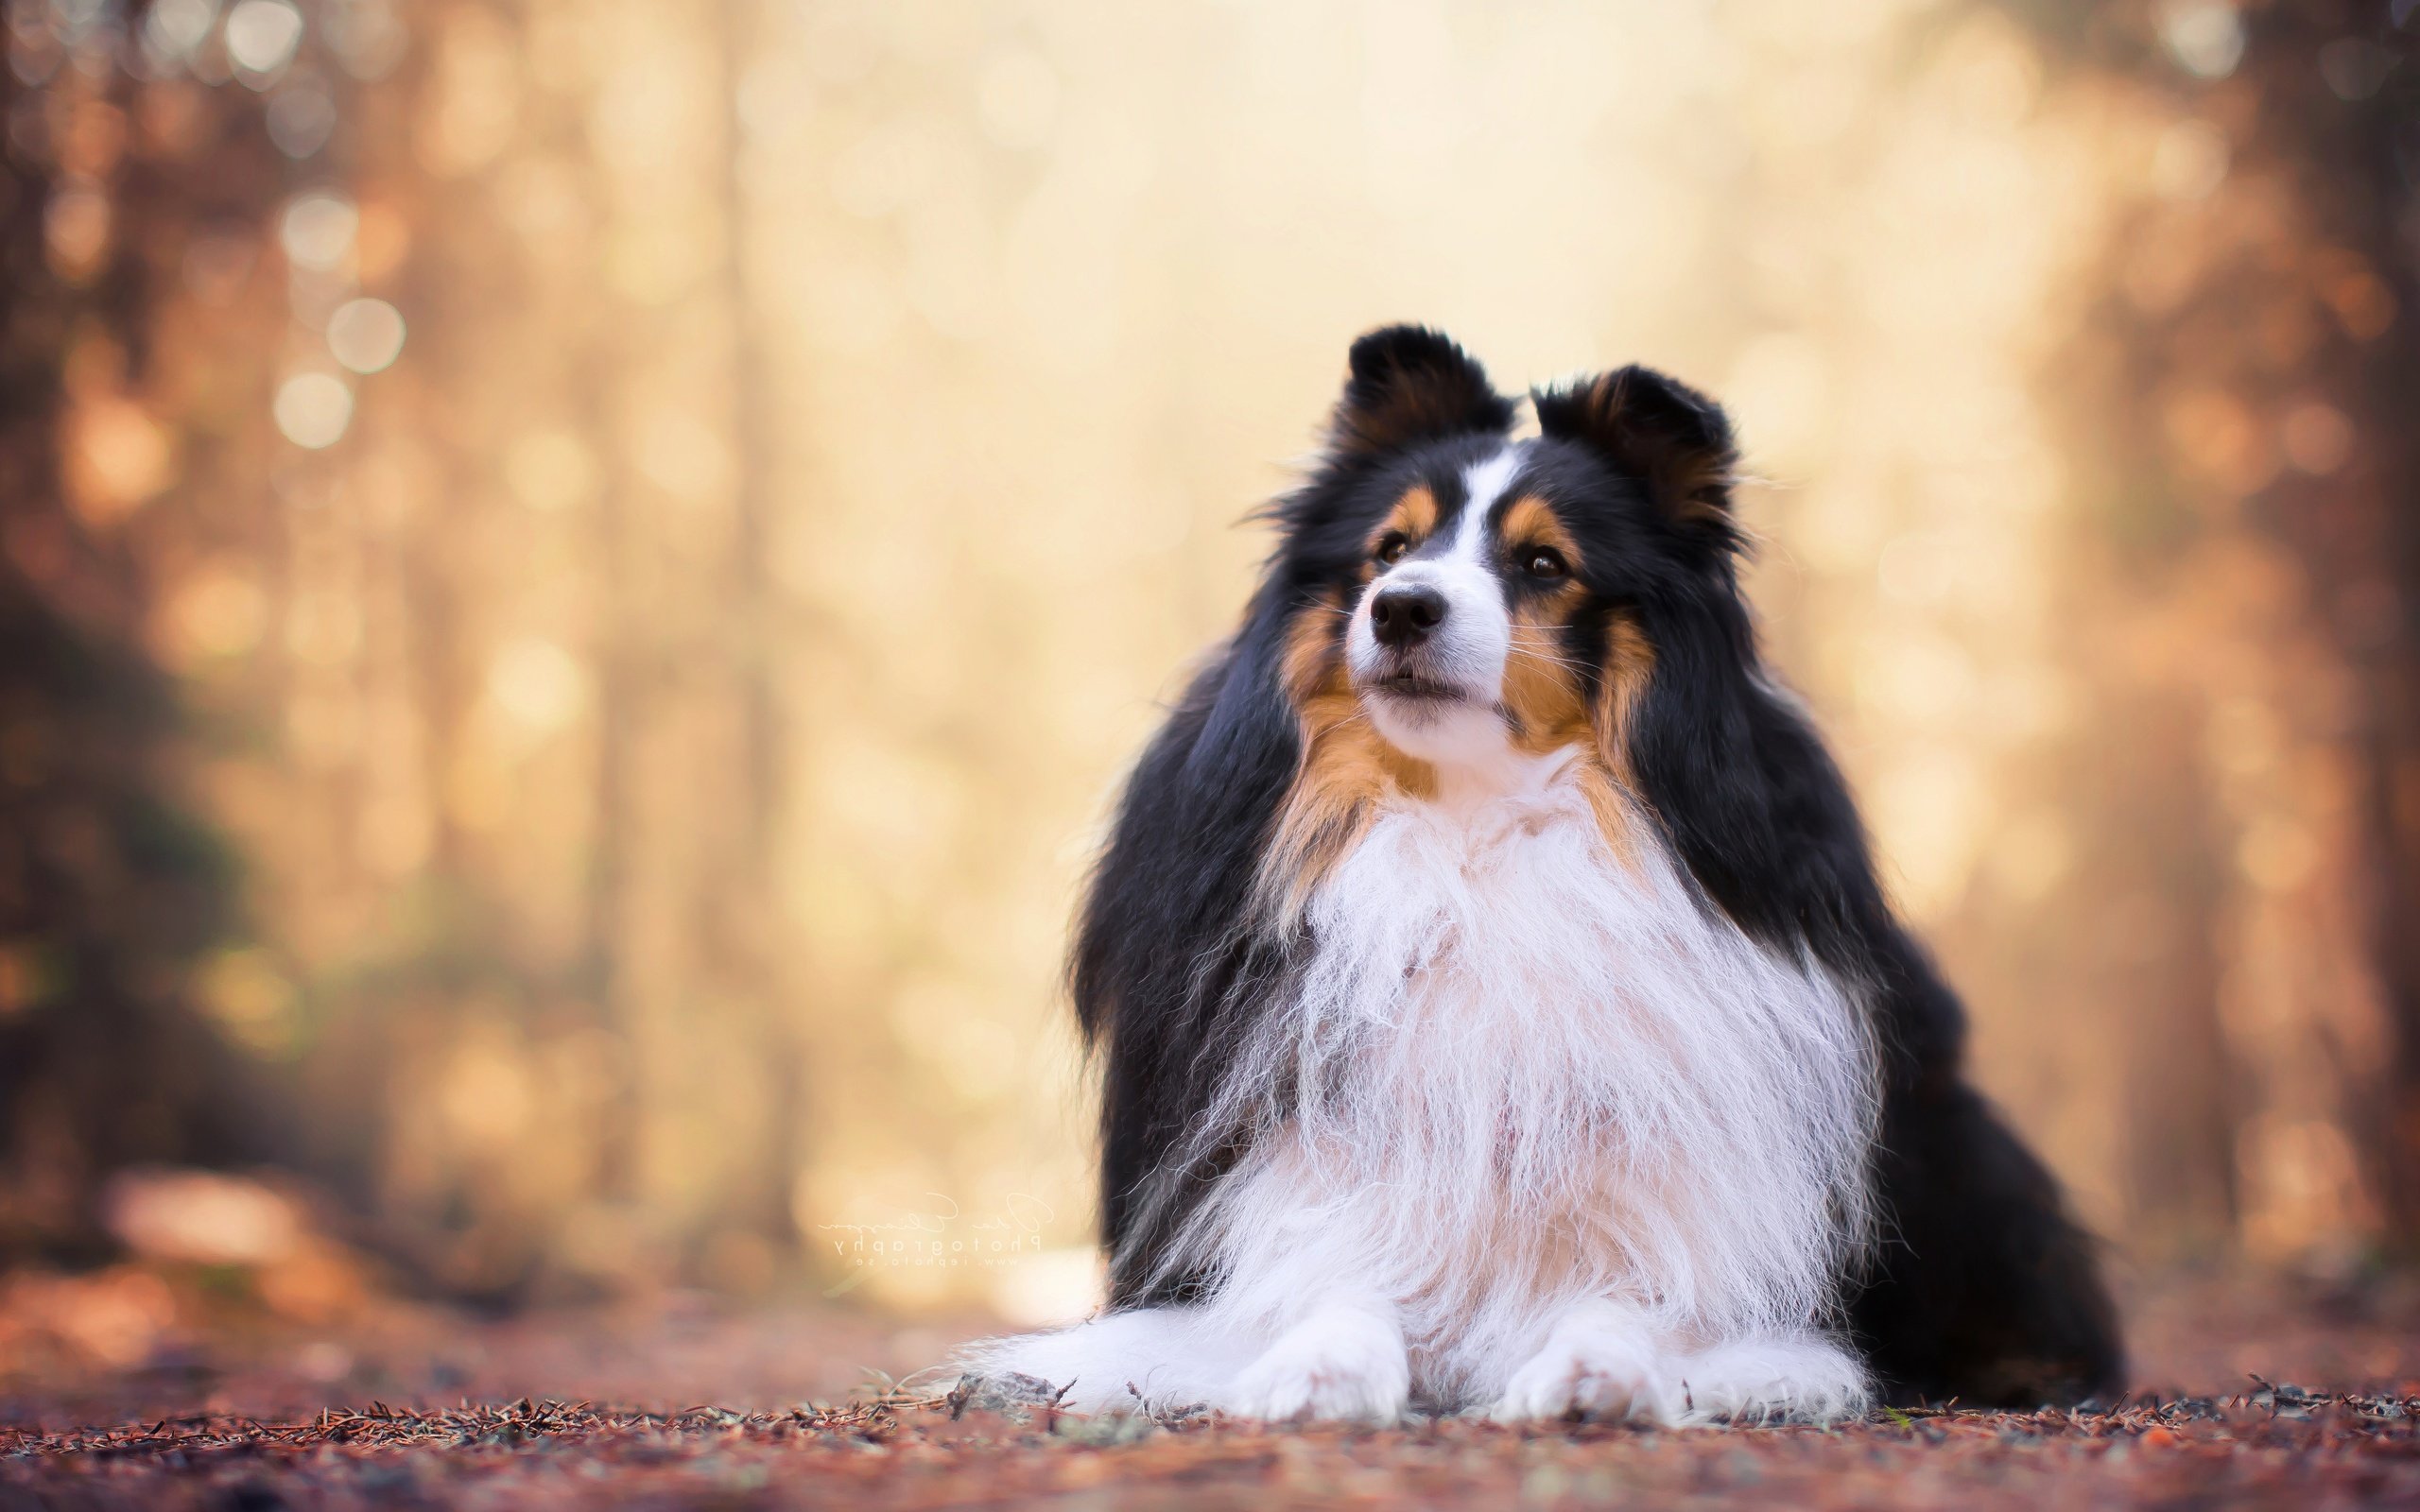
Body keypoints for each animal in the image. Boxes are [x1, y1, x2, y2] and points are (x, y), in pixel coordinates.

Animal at [962, 324, 2119, 1422]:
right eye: (1390, 548)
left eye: (1545, 565)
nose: (1401, 607)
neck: (1476, 827)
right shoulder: (1298, 1173)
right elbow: (1333, 1279)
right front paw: (1318, 1370)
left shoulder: (1689, 1198)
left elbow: (1640, 1298)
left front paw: (1592, 1372)